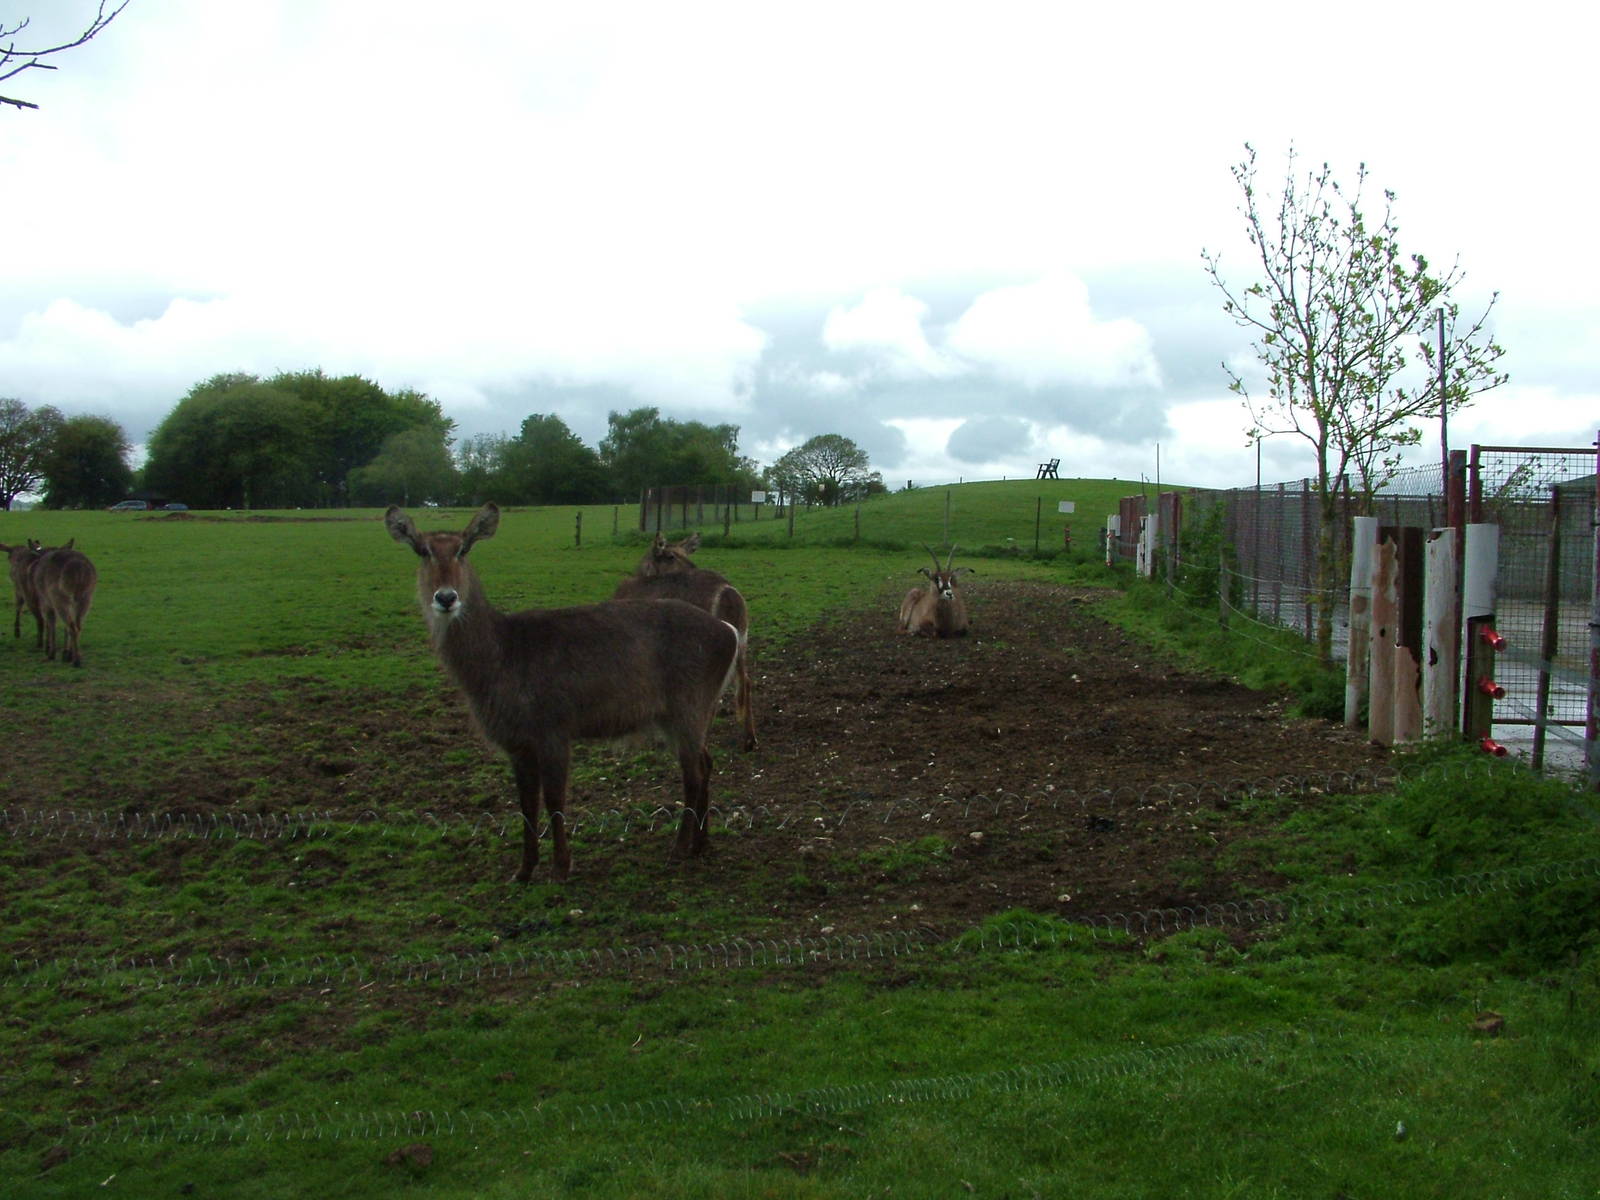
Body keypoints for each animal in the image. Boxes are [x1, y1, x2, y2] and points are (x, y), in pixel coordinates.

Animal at [386, 503, 741, 882]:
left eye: (463, 548)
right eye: (422, 550)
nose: (446, 597)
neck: (499, 664)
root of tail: (730, 632)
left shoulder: (554, 728)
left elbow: (555, 799)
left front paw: (561, 867)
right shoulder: (517, 743)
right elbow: (526, 804)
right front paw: (523, 871)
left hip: (689, 706)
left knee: (693, 774)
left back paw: (679, 848)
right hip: (689, 714)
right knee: (706, 761)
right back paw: (701, 844)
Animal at [611, 532, 757, 751]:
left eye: (684, 553)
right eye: (671, 555)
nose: (693, 567)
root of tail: (727, 593)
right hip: (741, 642)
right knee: (744, 682)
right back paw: (749, 740)